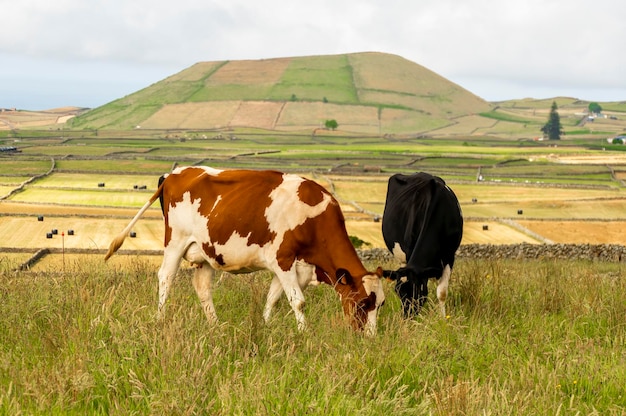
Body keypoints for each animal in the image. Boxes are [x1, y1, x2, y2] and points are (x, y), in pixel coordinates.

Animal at [105, 165, 382, 334]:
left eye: (380, 305)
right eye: (362, 303)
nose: (368, 338)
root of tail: (175, 173)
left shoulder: (294, 267)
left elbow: (273, 297)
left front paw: (266, 325)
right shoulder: (283, 259)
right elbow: (298, 302)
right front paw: (305, 333)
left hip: (205, 251)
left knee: (202, 288)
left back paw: (215, 326)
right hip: (175, 242)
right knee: (166, 277)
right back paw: (160, 319)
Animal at [378, 172, 460, 318]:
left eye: (417, 291)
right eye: (398, 292)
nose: (407, 317)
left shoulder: (449, 256)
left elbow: (442, 292)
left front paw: (443, 319)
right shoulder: (409, 251)